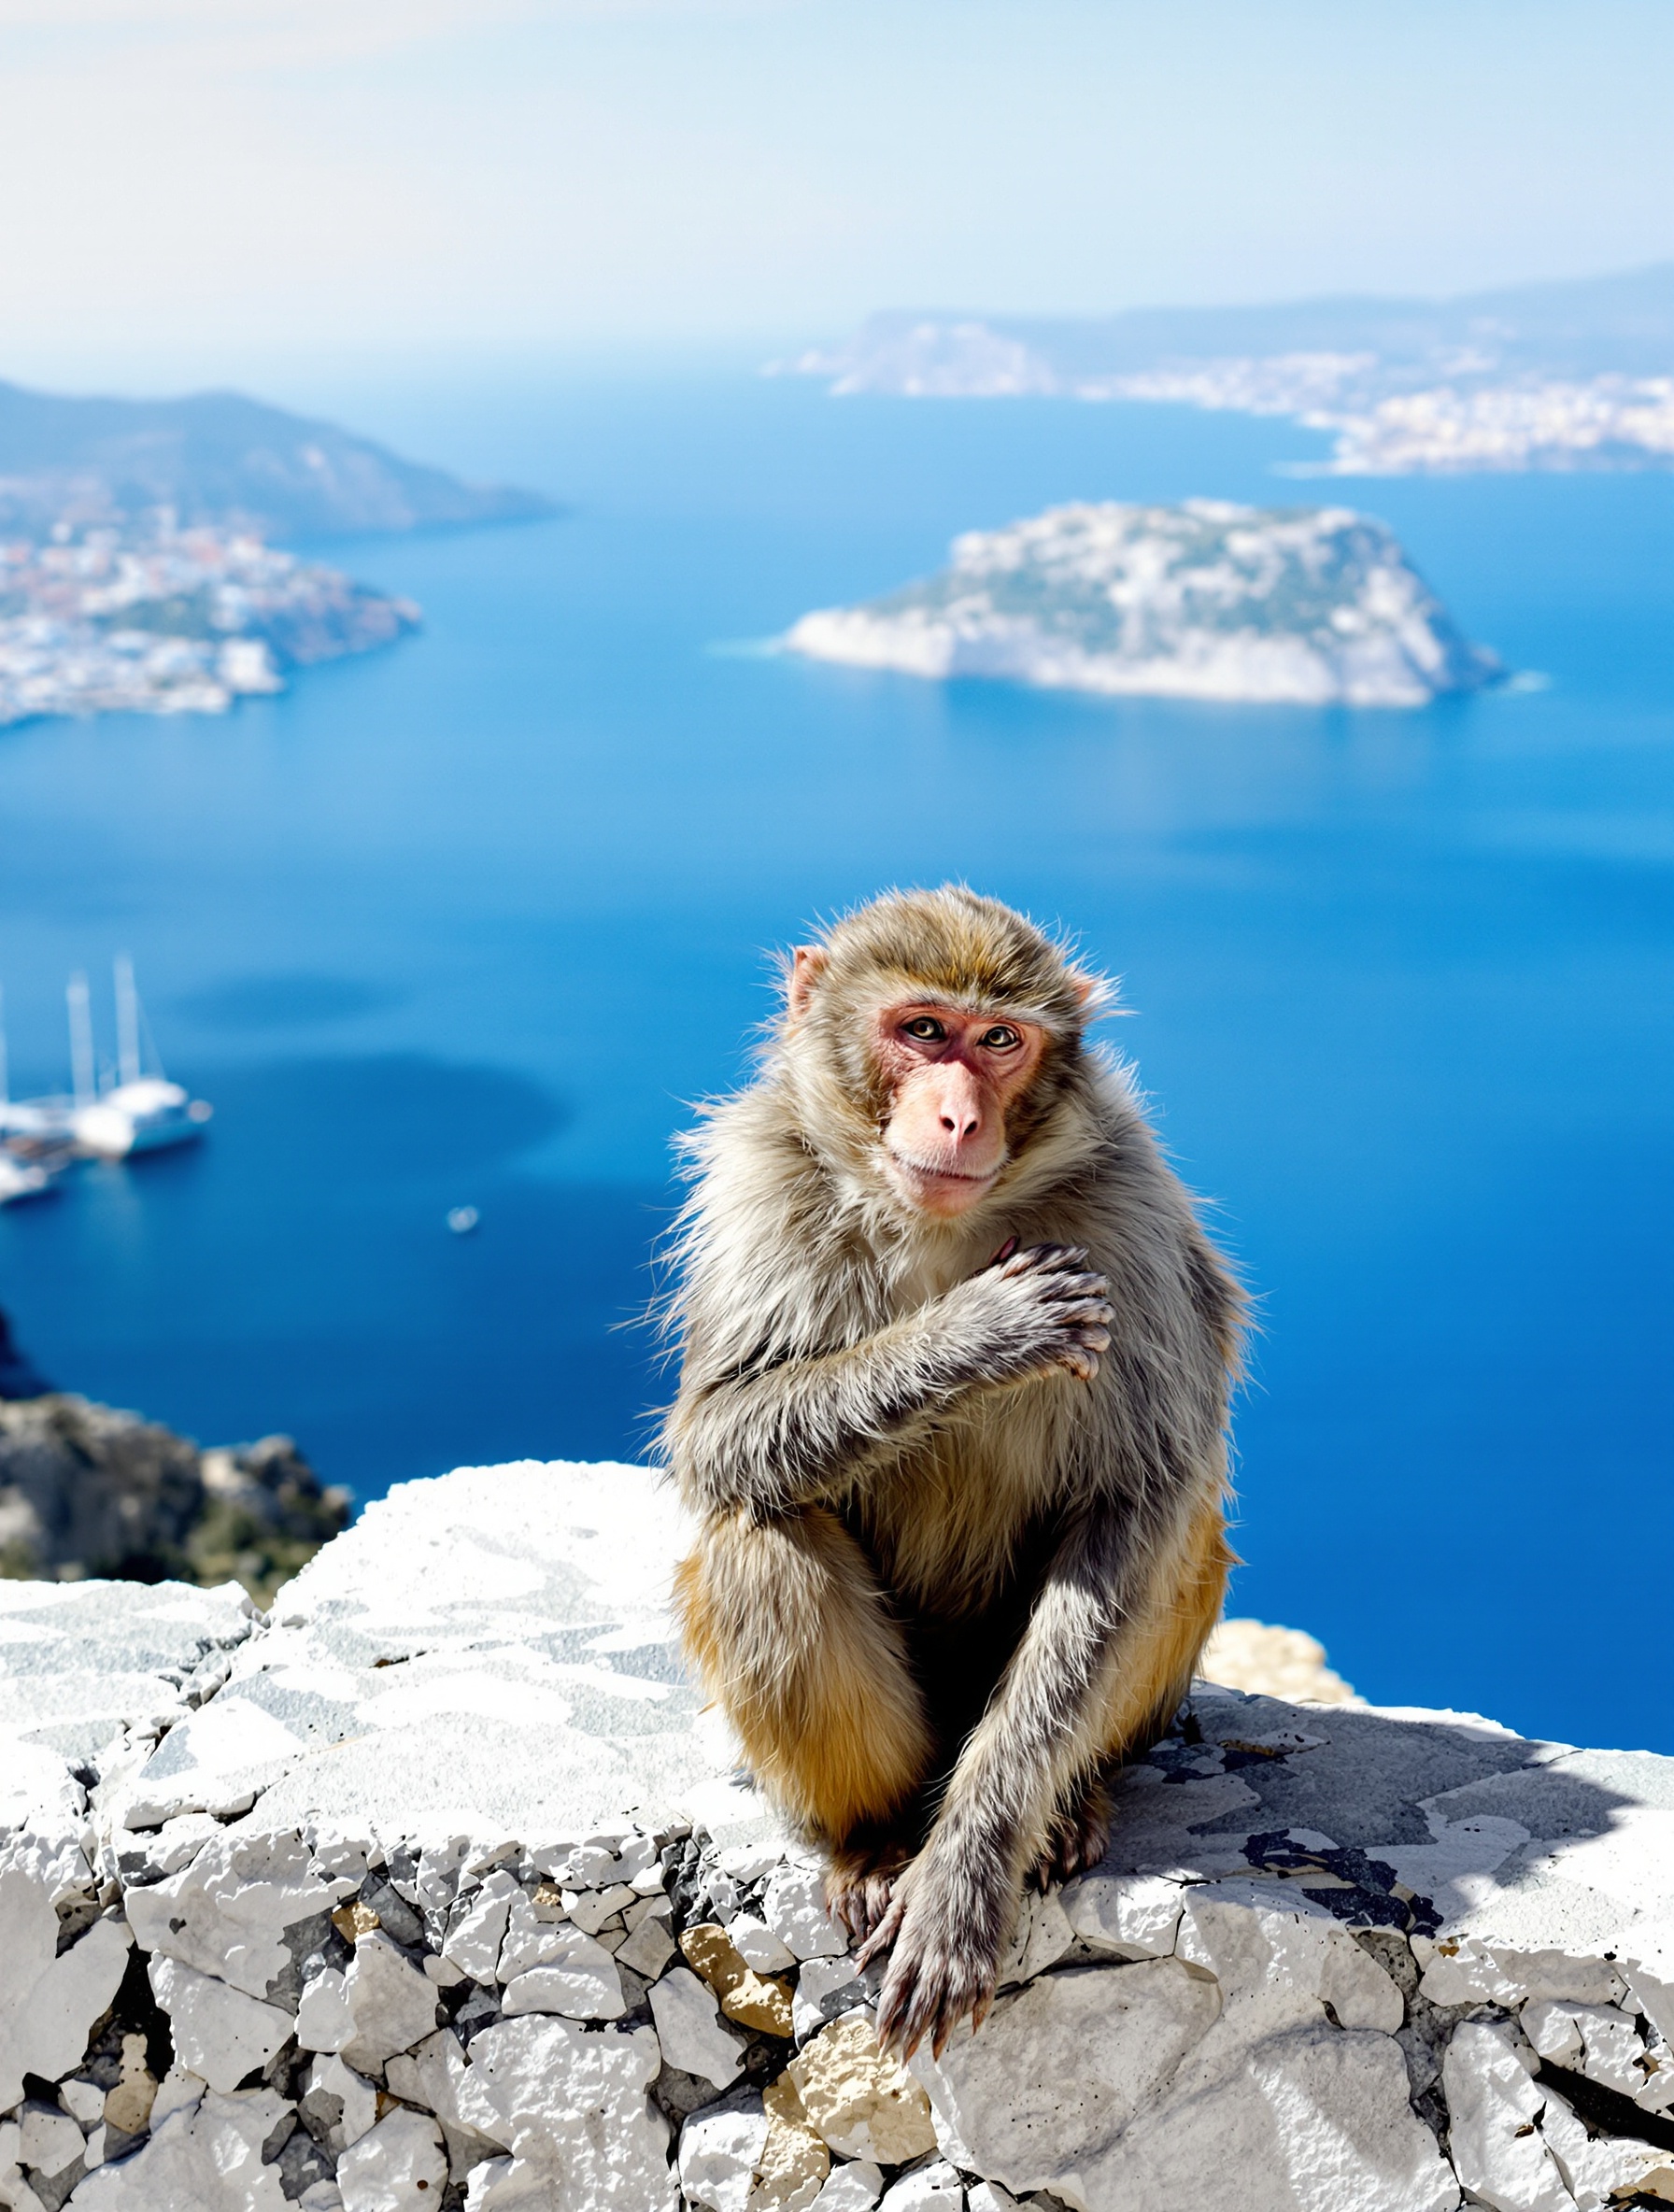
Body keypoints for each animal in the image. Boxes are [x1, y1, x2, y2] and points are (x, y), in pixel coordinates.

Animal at [662, 886, 1243, 2060]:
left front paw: (970, 1872)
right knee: (759, 1528)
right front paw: (979, 1333)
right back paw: (881, 1835)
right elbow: (715, 1432)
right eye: (923, 1030)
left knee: (1176, 1537)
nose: (960, 1117)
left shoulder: (1129, 1213)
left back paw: (1054, 1812)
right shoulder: (756, 1180)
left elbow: (1138, 1498)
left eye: (1000, 1041)